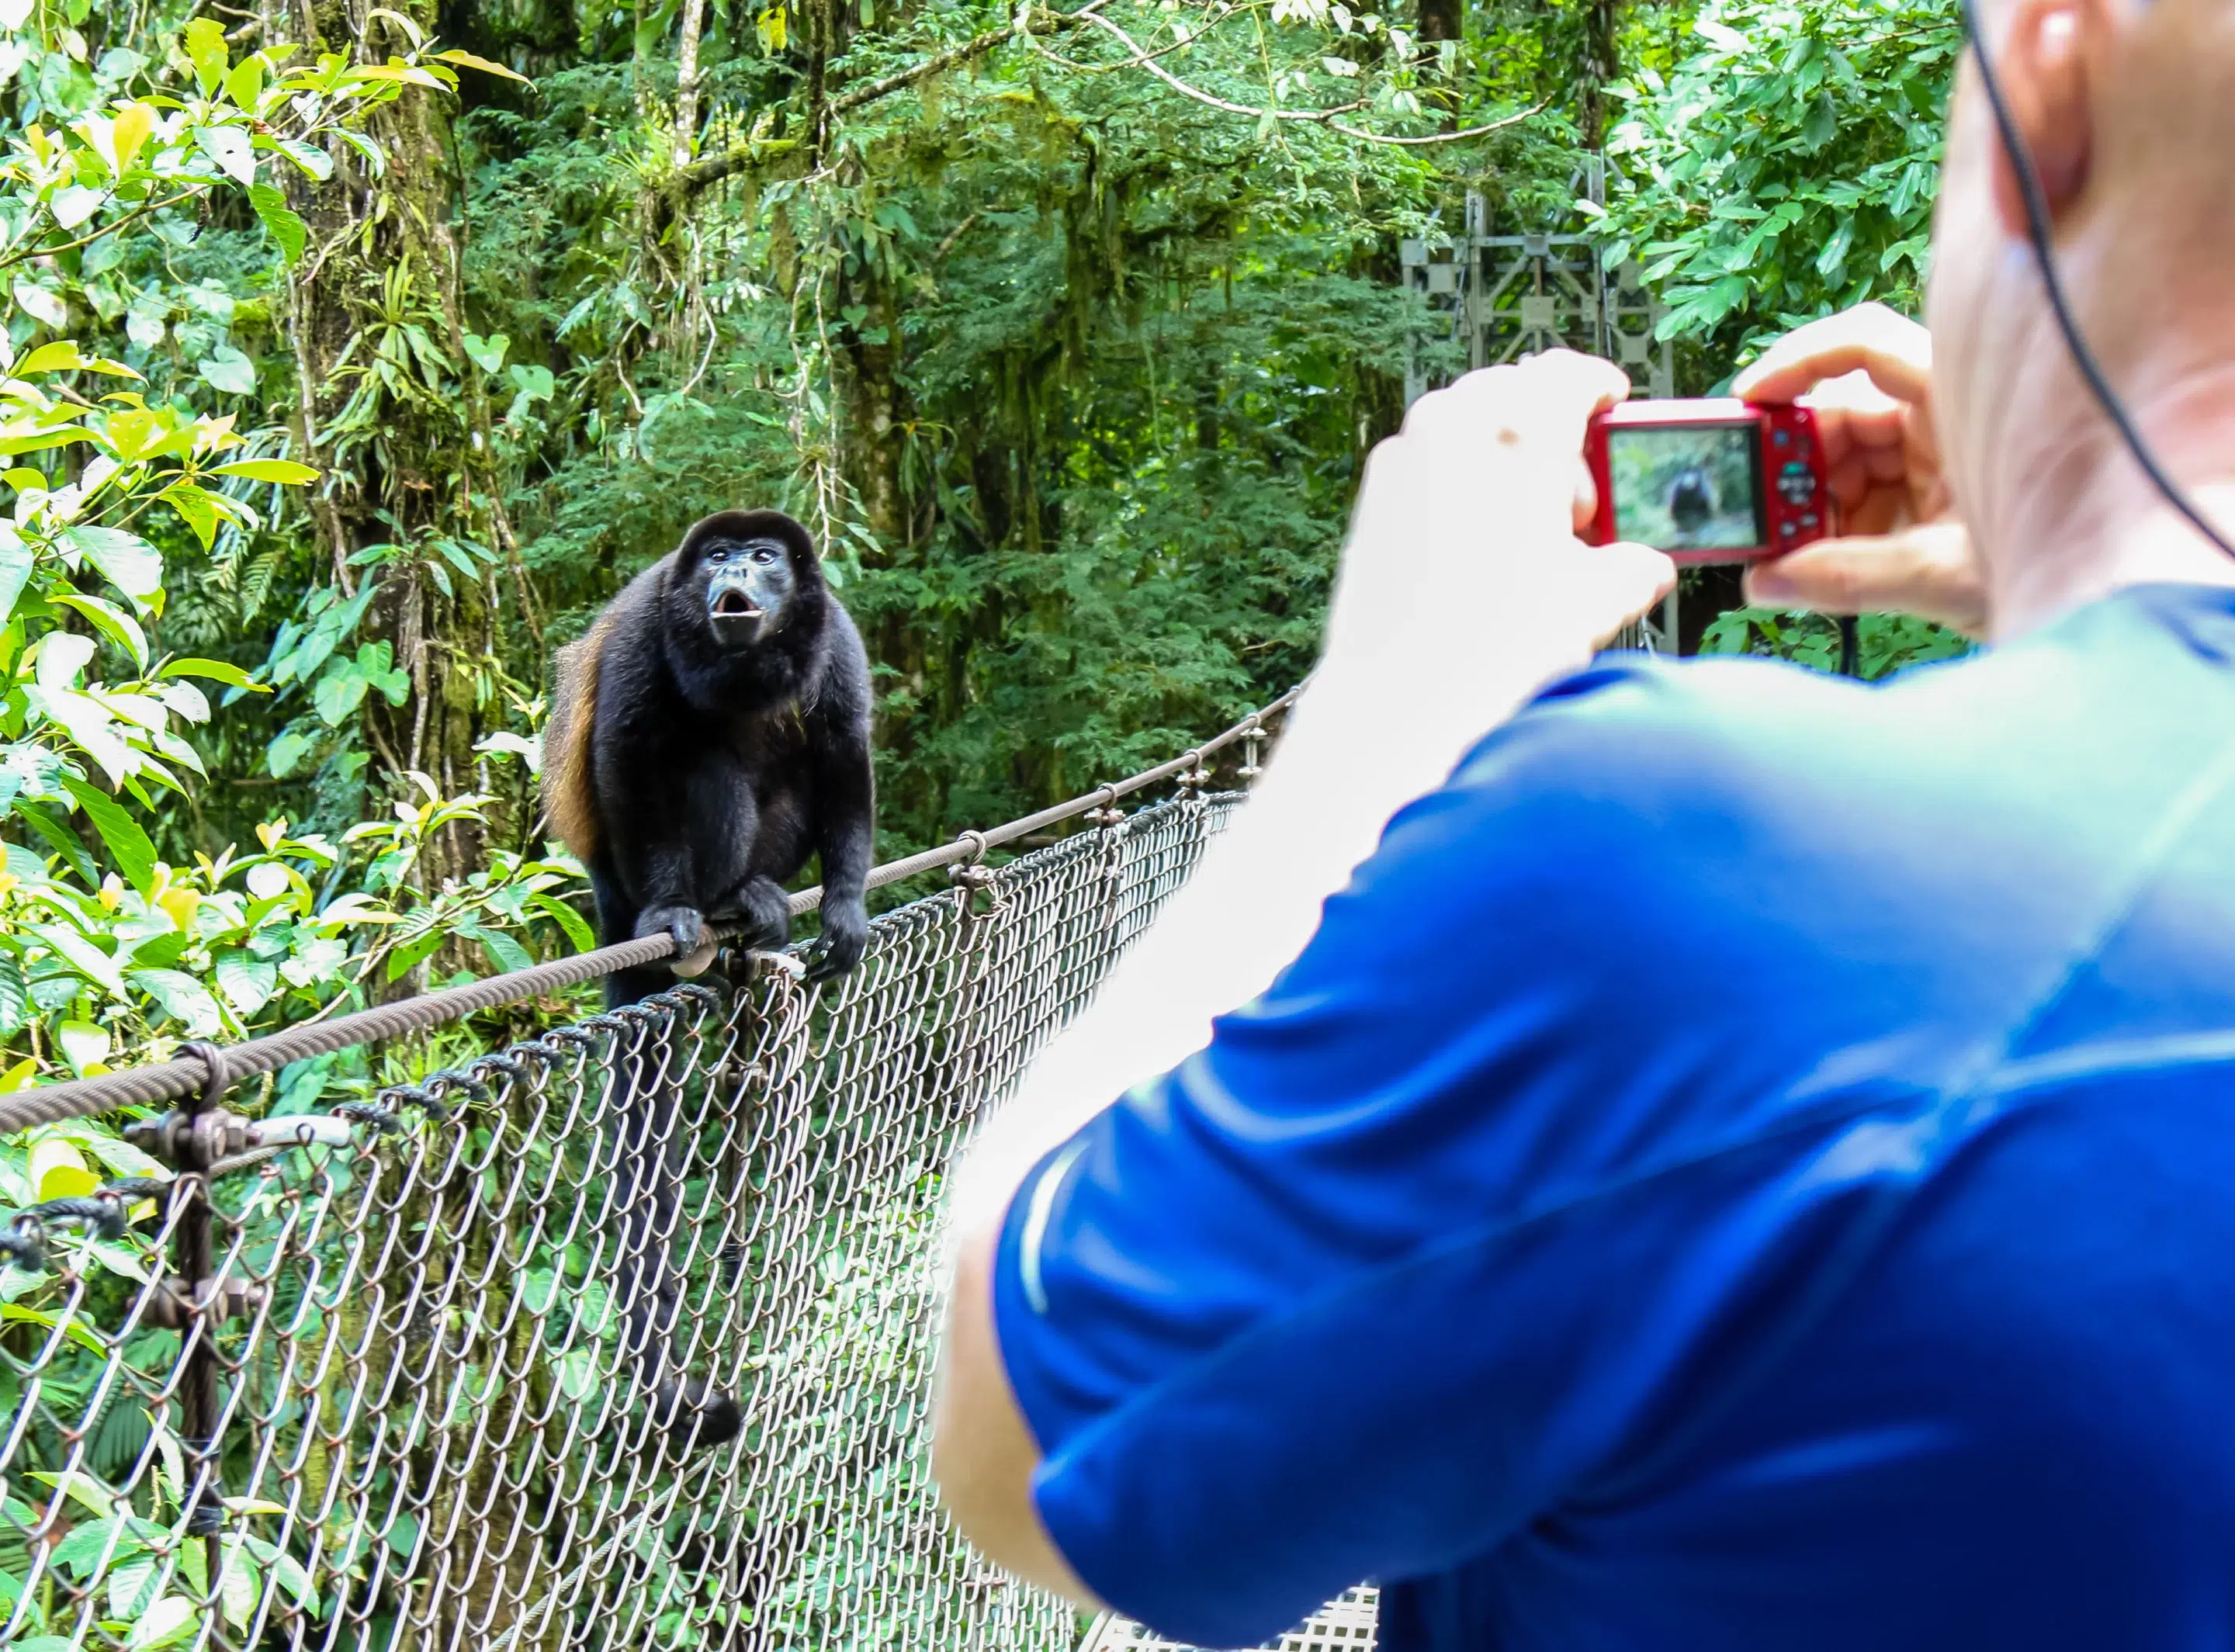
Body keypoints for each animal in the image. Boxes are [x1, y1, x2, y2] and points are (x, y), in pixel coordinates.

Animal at [545, 509, 875, 1457]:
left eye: (765, 557)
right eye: (718, 558)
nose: (736, 570)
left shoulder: (836, 635)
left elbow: (845, 752)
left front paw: (845, 905)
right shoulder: (649, 625)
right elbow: (627, 752)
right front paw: (674, 908)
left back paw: (758, 900)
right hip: (623, 874)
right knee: (703, 769)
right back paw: (706, 907)